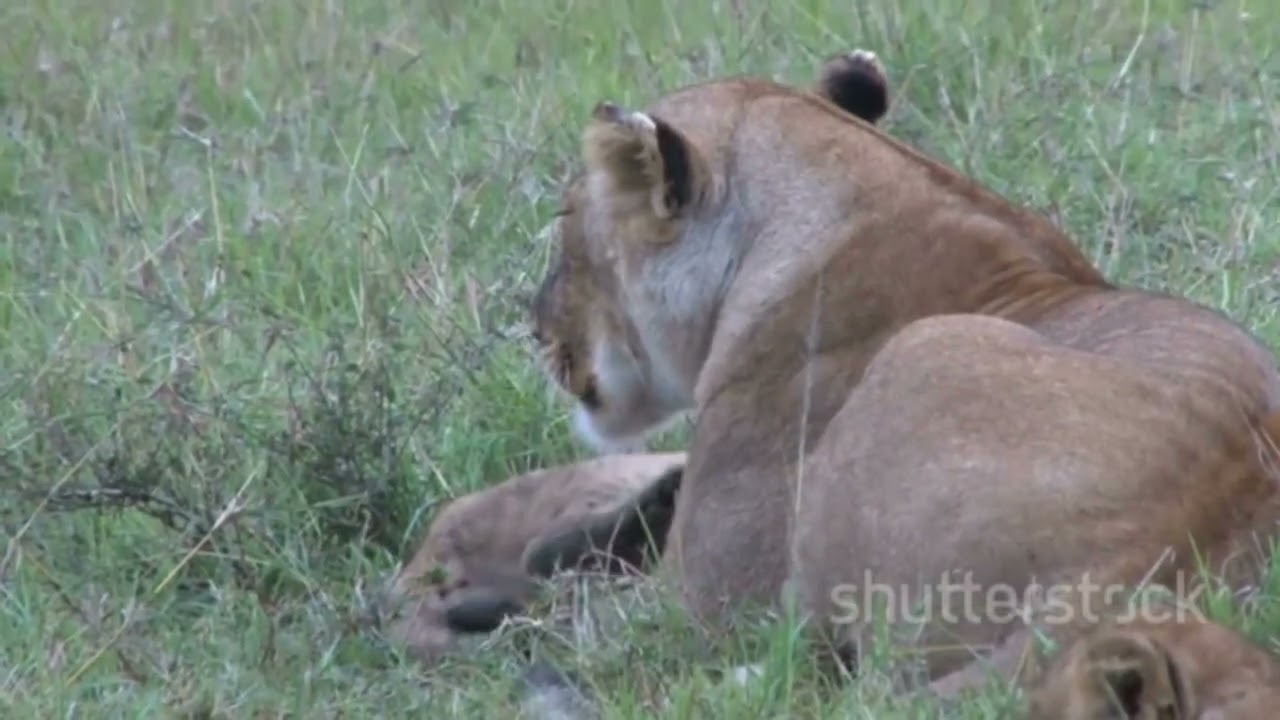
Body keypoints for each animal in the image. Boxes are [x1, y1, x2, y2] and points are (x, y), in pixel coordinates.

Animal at [527, 44, 1280, 700]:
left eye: (563, 217)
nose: (532, 326)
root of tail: (1140, 552)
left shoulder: (701, 591)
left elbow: (600, 610)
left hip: (921, 354)